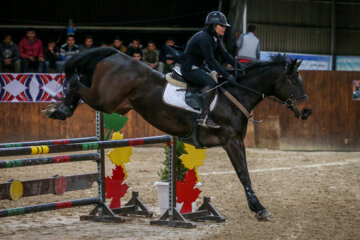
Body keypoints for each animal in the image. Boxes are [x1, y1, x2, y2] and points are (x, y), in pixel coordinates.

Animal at [43, 47, 312, 221]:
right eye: (294, 81)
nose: (307, 111)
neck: (236, 96)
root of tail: (117, 54)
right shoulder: (232, 142)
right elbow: (243, 174)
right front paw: (259, 208)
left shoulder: (234, 142)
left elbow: (243, 173)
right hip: (106, 100)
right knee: (76, 85)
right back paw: (59, 108)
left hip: (114, 104)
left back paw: (61, 109)